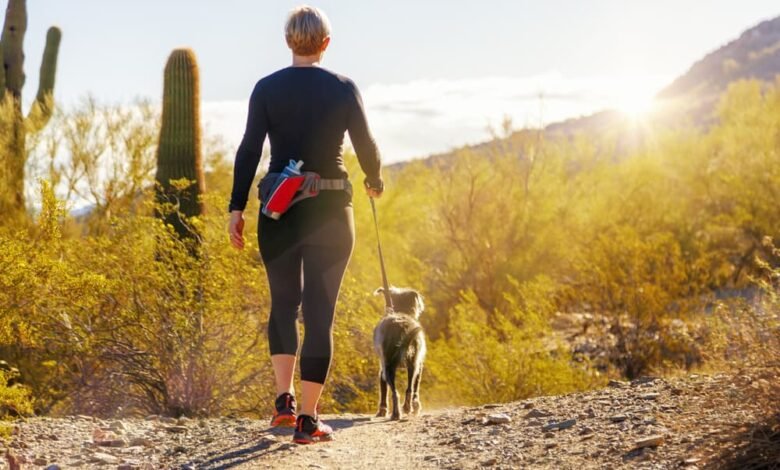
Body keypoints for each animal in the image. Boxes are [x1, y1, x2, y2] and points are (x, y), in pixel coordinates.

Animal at [372, 288, 426, 420]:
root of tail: (402, 327)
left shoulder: (382, 370)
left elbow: (383, 389)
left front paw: (382, 410)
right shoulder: (419, 366)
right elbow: (415, 387)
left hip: (389, 367)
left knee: (396, 392)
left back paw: (397, 413)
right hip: (412, 365)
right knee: (409, 389)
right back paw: (406, 408)